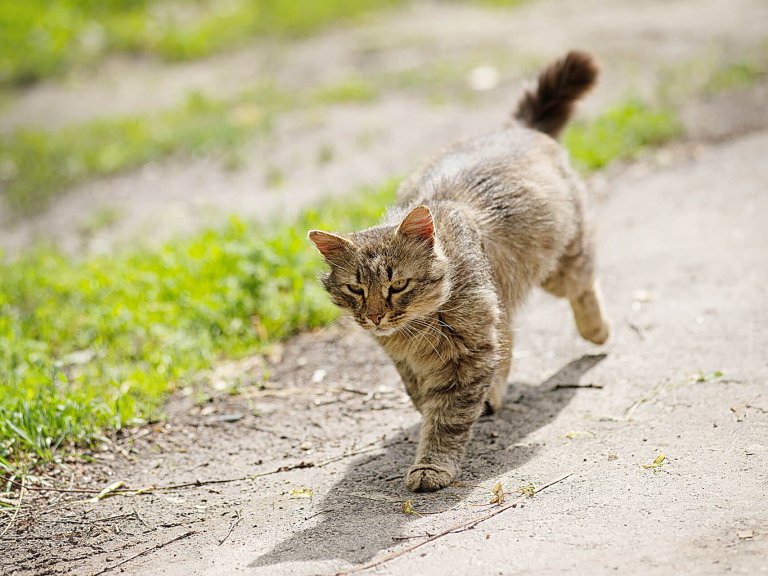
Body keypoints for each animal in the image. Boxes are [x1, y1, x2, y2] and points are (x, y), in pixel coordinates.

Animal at [308, 50, 608, 490]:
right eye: (356, 290)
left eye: (398, 285)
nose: (376, 317)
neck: (416, 329)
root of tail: (515, 130)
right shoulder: (409, 360)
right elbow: (424, 397)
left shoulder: (467, 355)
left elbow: (446, 419)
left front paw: (431, 467)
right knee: (511, 337)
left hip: (560, 267)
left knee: (584, 287)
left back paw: (596, 331)